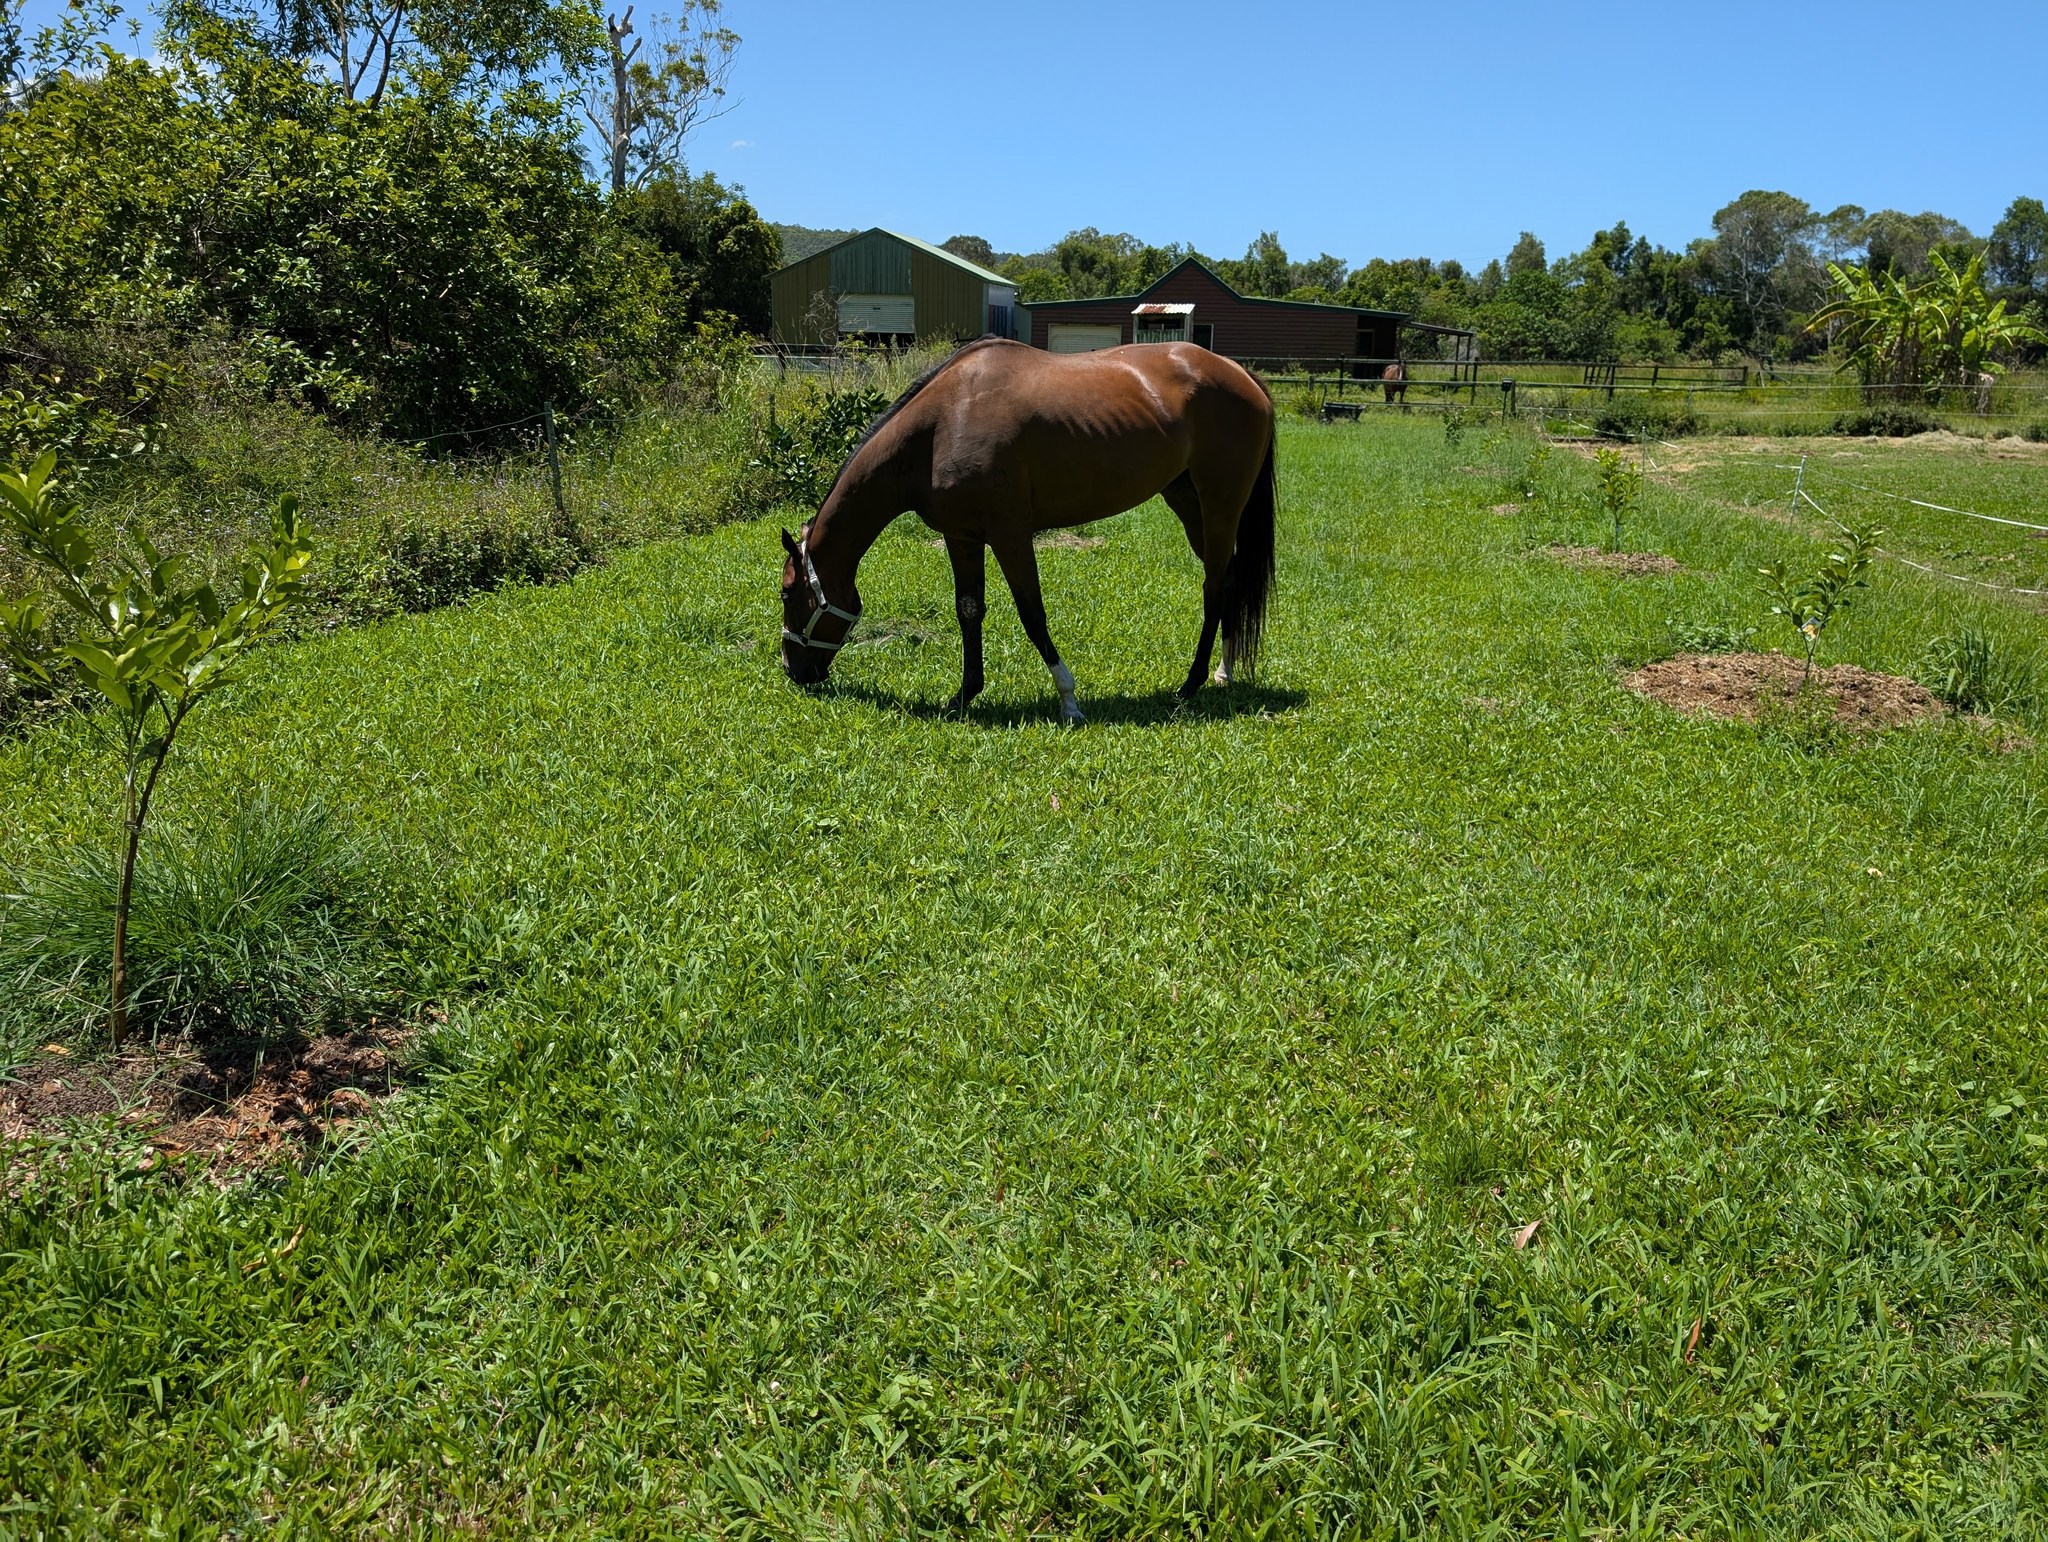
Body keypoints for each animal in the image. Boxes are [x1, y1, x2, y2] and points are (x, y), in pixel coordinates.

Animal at [778, 338, 1276, 725]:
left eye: (786, 593)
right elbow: (969, 611)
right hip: (1187, 502)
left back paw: (1190, 684)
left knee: (1213, 586)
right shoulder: (962, 537)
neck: (943, 422)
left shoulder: (1011, 536)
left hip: (1220, 506)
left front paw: (1069, 699)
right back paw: (1224, 671)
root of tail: (1242, 374)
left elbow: (1032, 614)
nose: (792, 670)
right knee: (1229, 578)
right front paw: (964, 695)